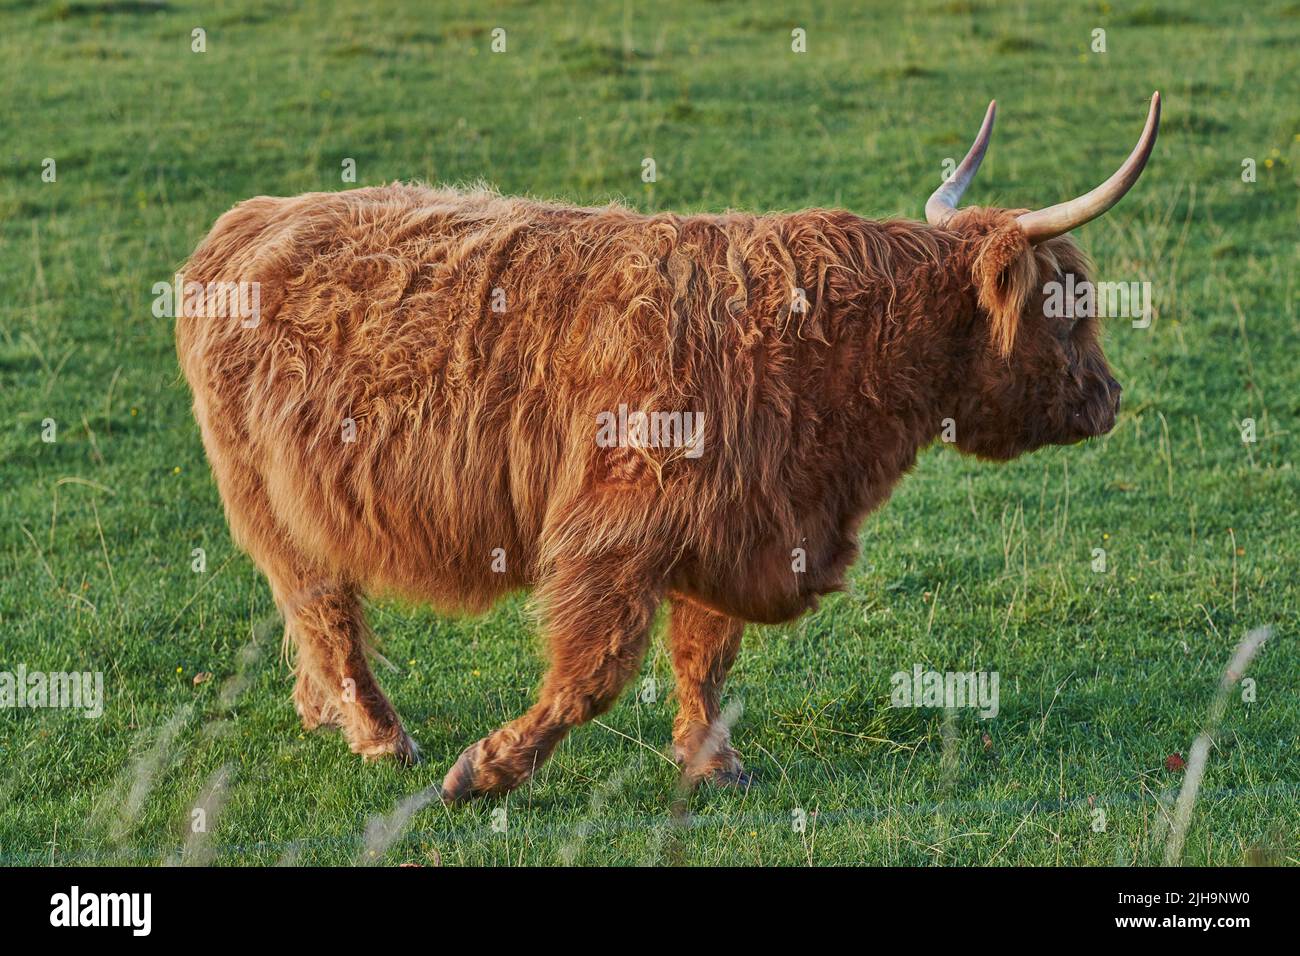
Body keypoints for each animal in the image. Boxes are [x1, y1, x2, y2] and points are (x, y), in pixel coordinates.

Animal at [175, 94, 1160, 802]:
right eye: (1068, 303)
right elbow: (595, 672)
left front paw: (711, 765)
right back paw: (382, 736)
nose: (1109, 399)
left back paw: (325, 714)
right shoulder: (616, 534)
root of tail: (251, 218)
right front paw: (484, 771)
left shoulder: (737, 525)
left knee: (312, 610)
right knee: (324, 606)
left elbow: (706, 656)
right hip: (266, 496)